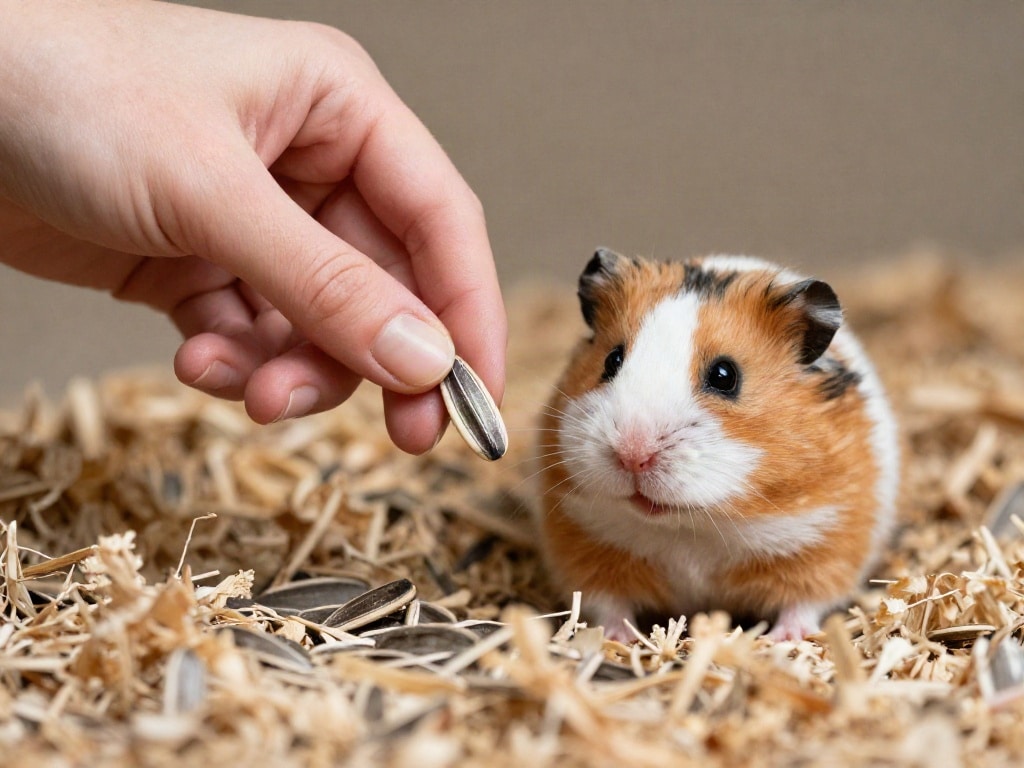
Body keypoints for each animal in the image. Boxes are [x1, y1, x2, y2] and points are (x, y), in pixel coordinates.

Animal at [536, 249, 899, 641]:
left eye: (725, 376)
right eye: (611, 360)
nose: (632, 455)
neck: (690, 526)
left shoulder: (826, 538)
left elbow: (804, 602)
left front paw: (784, 639)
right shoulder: (584, 540)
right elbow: (609, 604)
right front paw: (614, 638)